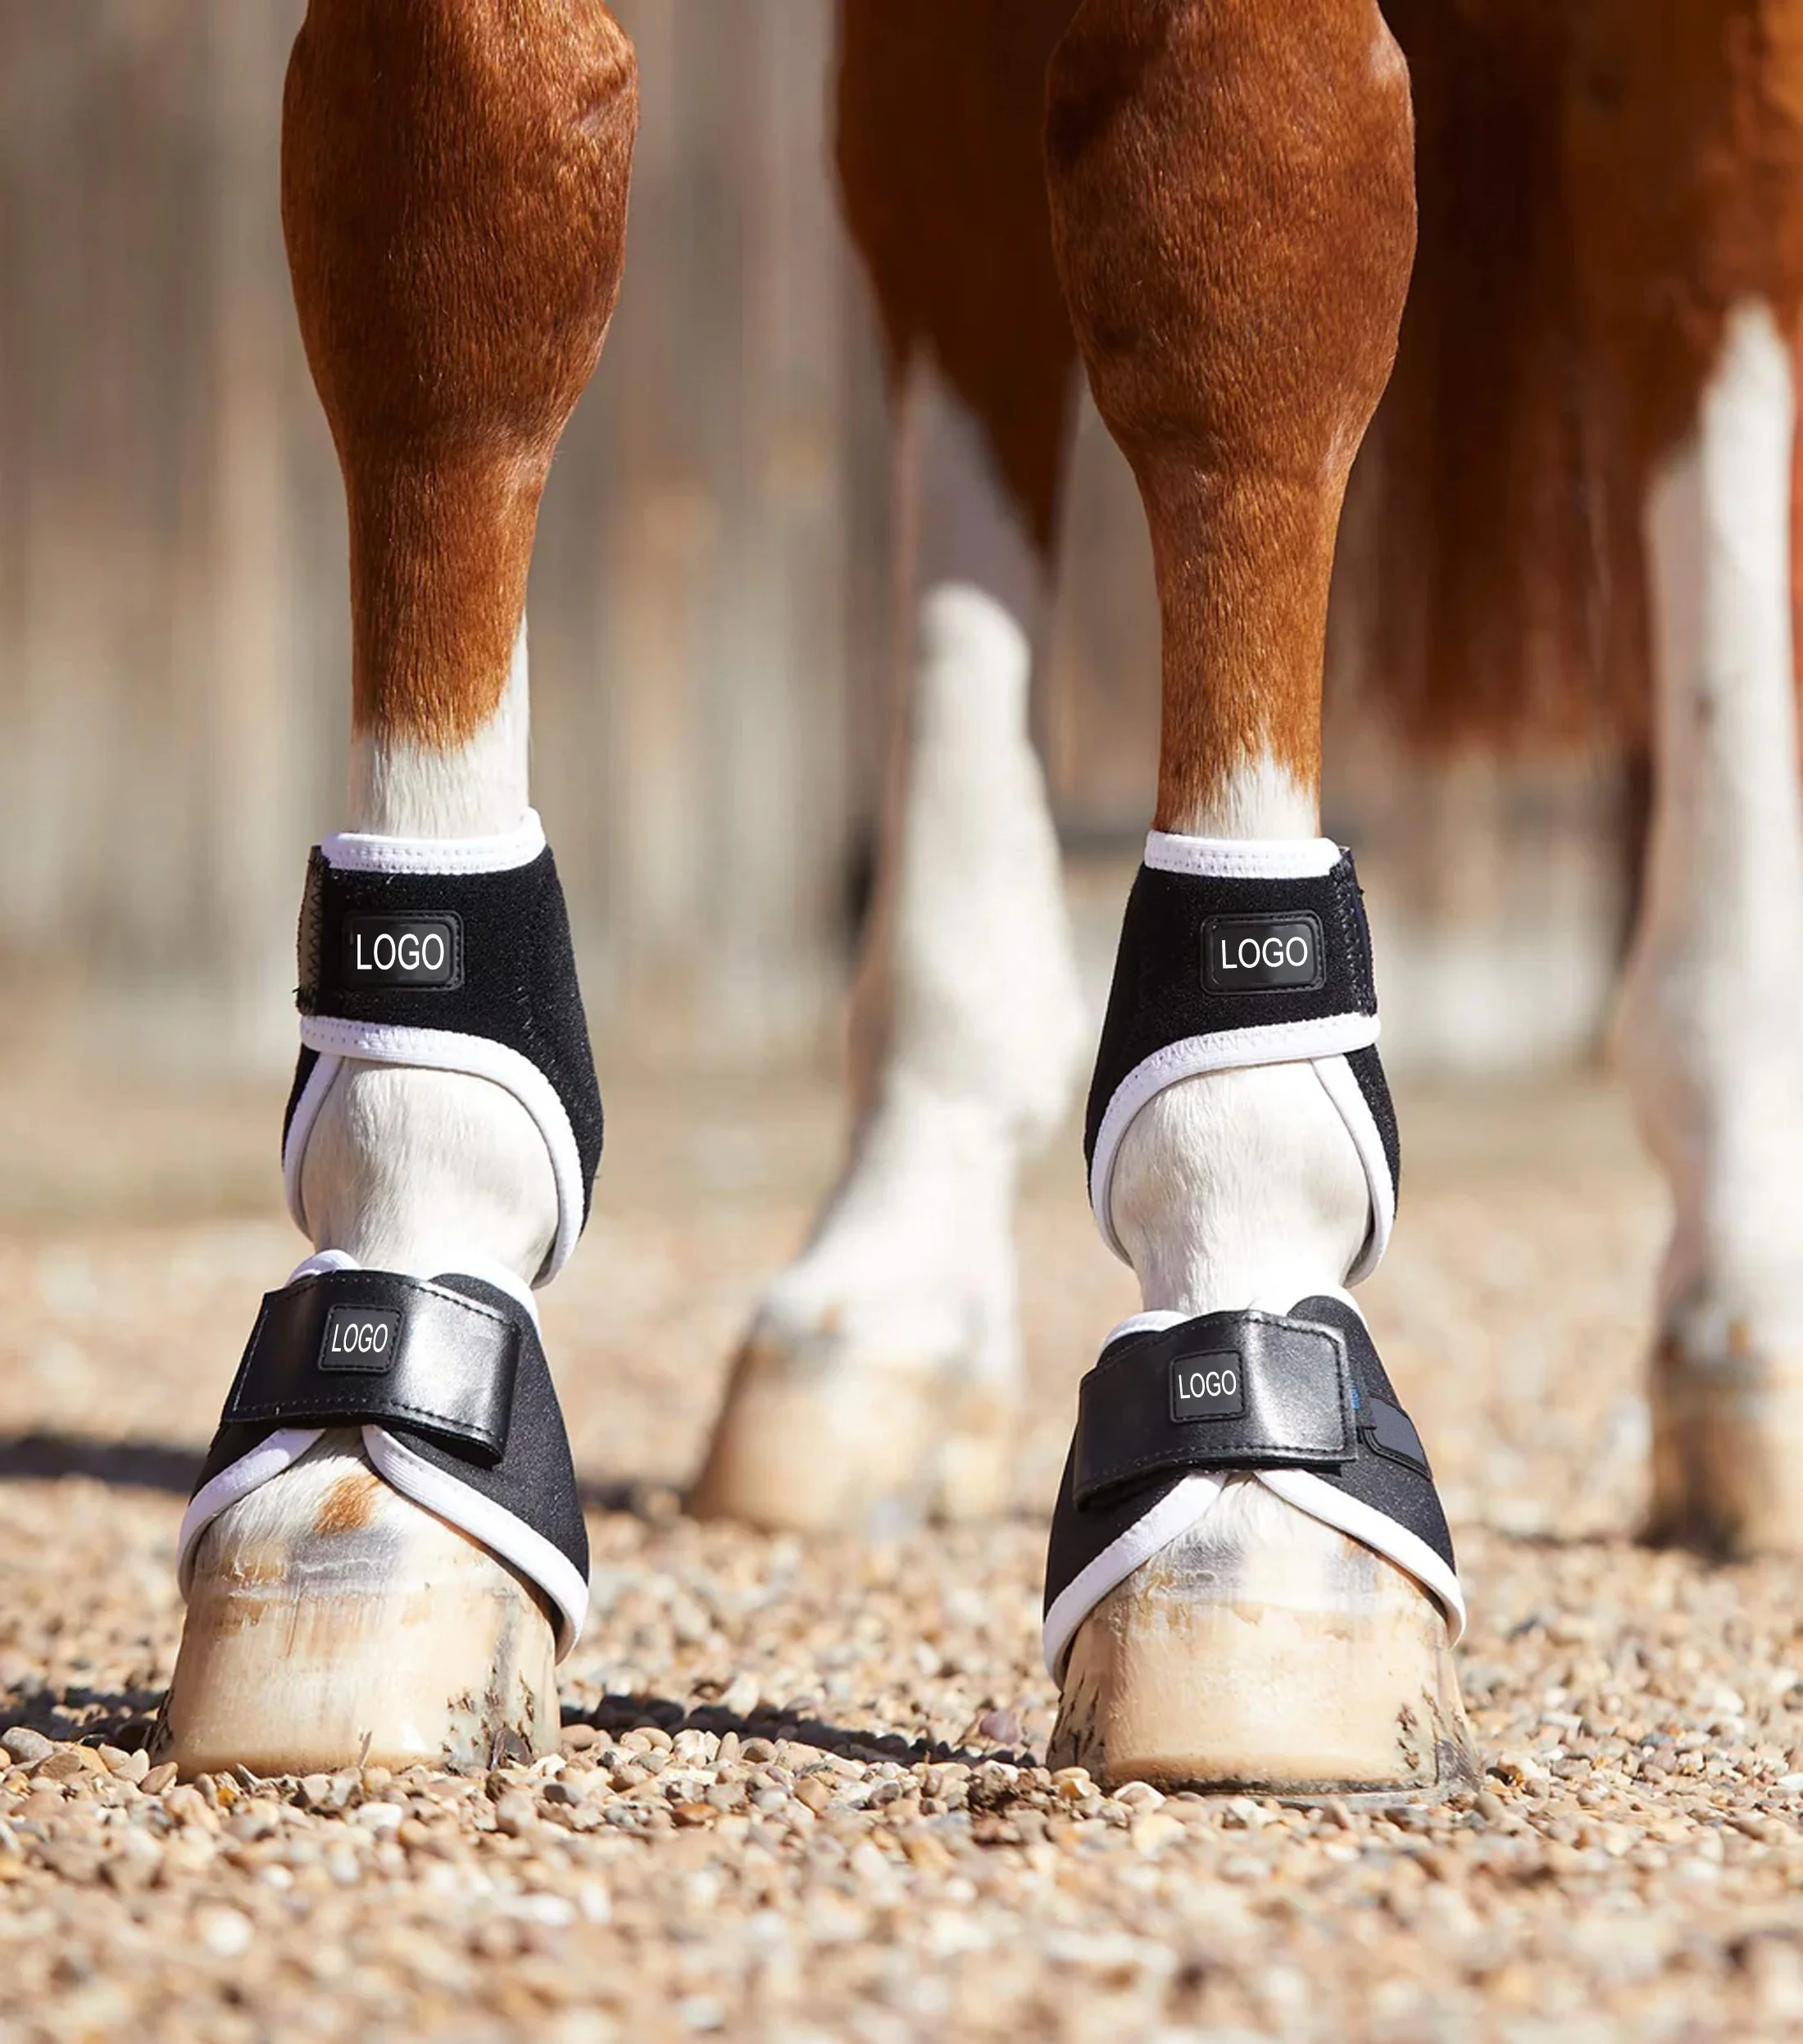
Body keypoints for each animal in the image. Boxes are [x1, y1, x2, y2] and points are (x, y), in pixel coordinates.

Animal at [156, 0, 1803, 1799]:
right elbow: (455, 226)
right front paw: (375, 1445)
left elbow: (1240, 227)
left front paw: (1252, 1414)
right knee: (956, 226)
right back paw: (887, 1289)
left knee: (1706, 249)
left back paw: (1751, 1286)